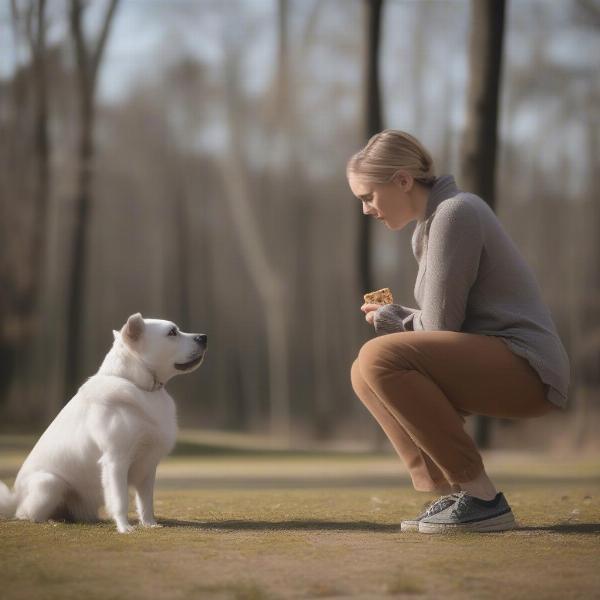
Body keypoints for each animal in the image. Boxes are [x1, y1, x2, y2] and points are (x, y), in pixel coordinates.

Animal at [0, 312, 206, 532]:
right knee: (26, 514)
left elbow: (146, 502)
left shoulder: (148, 466)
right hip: (49, 484)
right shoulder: (116, 460)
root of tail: (15, 498)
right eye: (172, 332)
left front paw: (149, 524)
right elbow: (120, 499)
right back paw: (50, 520)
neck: (138, 385)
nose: (204, 337)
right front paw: (125, 528)